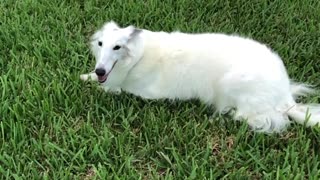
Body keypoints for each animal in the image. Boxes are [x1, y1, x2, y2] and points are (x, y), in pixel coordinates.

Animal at [80, 21, 320, 134]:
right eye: (100, 44)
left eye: (117, 47)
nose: (100, 71)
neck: (139, 55)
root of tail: (285, 98)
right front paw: (86, 76)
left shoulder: (139, 91)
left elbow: (111, 88)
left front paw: (92, 82)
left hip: (231, 85)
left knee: (248, 117)